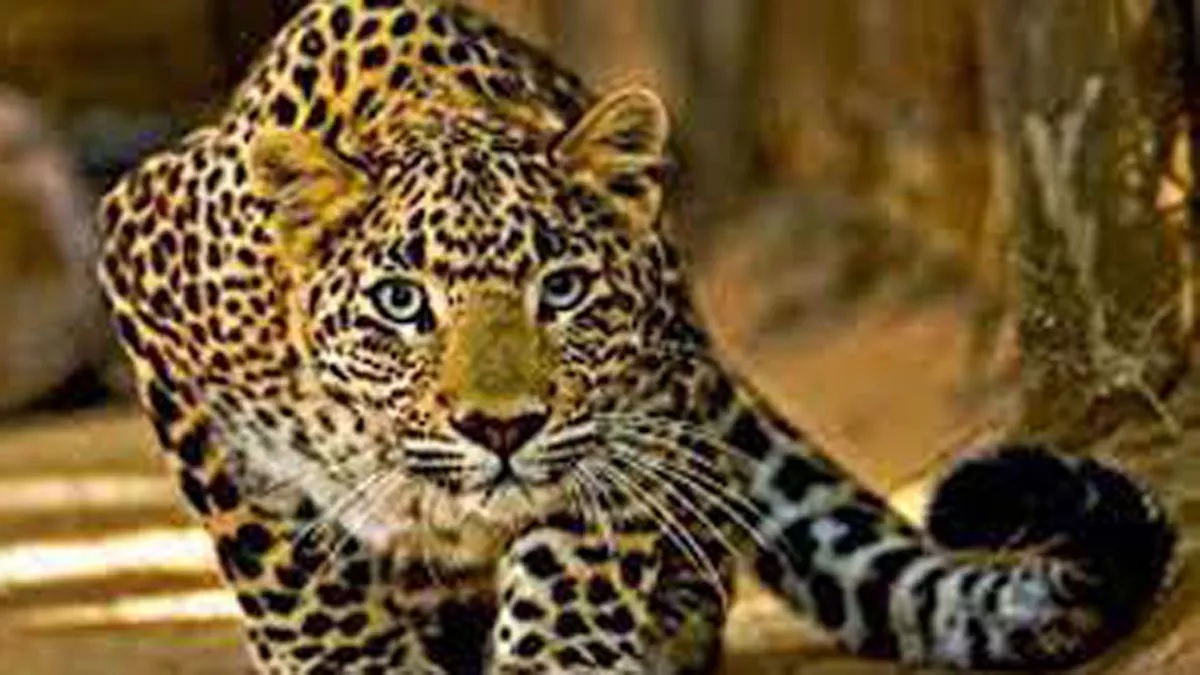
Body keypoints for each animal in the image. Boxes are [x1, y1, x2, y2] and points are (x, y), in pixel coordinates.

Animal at [96, 0, 1179, 672]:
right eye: (401, 303)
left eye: (565, 290)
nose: (503, 428)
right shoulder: (141, 271)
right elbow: (280, 553)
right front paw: (342, 654)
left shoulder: (639, 402)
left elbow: (578, 548)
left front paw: (559, 652)